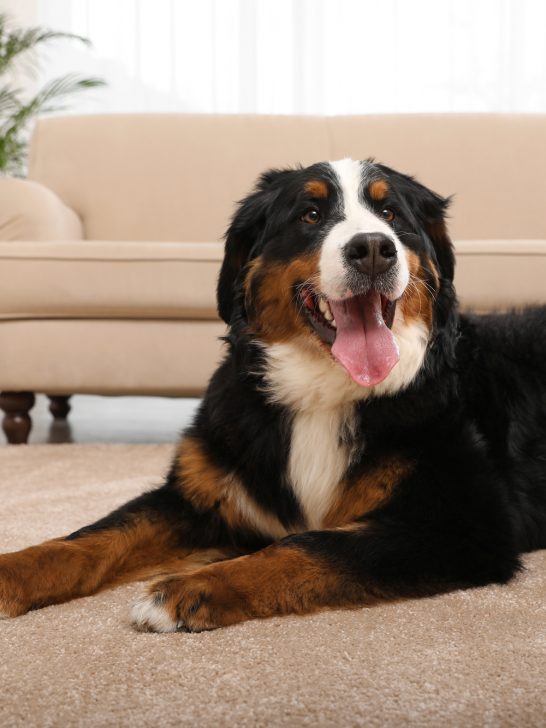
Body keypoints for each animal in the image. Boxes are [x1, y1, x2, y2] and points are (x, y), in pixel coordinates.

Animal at [1, 161, 544, 632]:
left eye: (391, 214)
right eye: (310, 214)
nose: (372, 247)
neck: (323, 390)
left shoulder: (465, 521)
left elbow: (308, 546)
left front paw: (192, 588)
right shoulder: (197, 496)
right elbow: (94, 537)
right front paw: (12, 570)